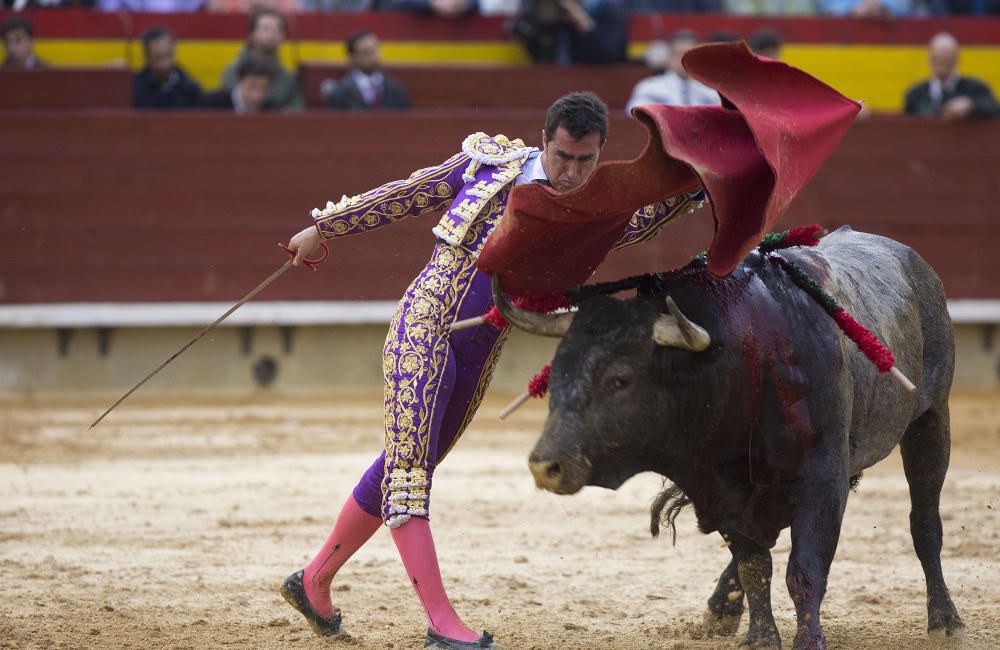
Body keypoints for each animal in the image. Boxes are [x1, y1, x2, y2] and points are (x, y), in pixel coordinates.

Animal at [496, 228, 964, 648]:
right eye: (557, 372)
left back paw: (945, 620)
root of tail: (911, 260)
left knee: (925, 522)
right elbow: (755, 564)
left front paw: (807, 640)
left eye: (620, 379)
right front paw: (760, 638)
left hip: (932, 418)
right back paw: (721, 608)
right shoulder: (722, 486)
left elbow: (804, 569)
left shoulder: (821, 477)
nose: (546, 466)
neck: (749, 363)